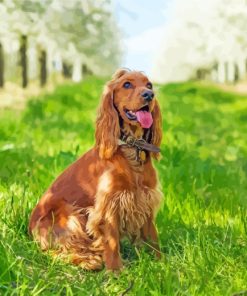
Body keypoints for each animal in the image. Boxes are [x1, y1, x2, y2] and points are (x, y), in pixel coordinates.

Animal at [28, 67, 162, 270]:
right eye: (127, 84)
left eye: (149, 85)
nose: (149, 95)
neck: (131, 148)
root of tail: (29, 228)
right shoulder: (110, 204)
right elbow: (112, 241)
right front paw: (116, 271)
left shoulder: (145, 198)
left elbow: (153, 236)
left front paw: (162, 263)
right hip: (69, 214)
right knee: (56, 252)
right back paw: (90, 260)